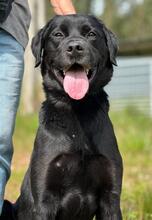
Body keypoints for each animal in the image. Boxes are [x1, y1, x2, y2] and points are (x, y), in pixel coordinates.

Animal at [1, 14, 123, 219]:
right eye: (58, 34)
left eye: (91, 34)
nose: (74, 47)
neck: (77, 110)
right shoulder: (44, 198)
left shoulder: (111, 197)